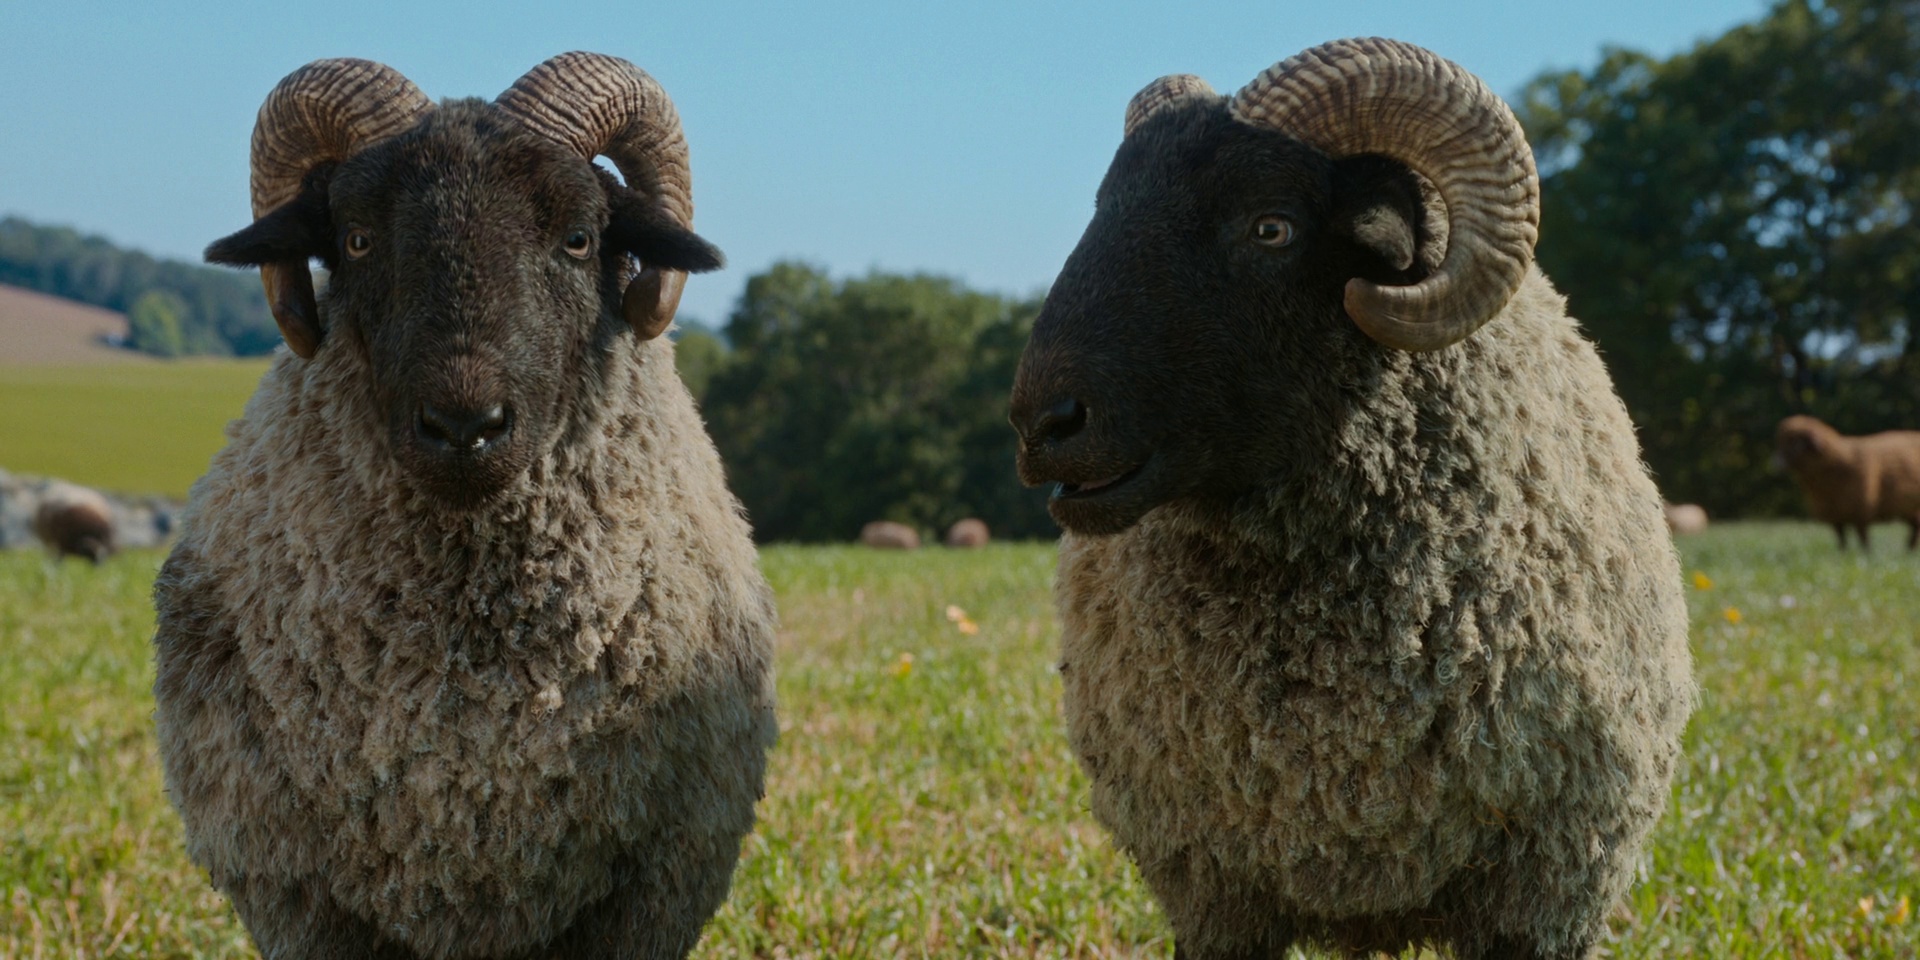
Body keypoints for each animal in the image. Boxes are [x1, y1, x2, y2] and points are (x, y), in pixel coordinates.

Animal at [1775, 414, 1920, 551]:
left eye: (1796, 444)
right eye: (1781, 443)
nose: (1777, 463)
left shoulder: (1861, 509)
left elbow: (1863, 537)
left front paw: (1866, 553)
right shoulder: (1835, 513)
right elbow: (1841, 538)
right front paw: (1842, 552)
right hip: (1908, 509)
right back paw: (1908, 549)